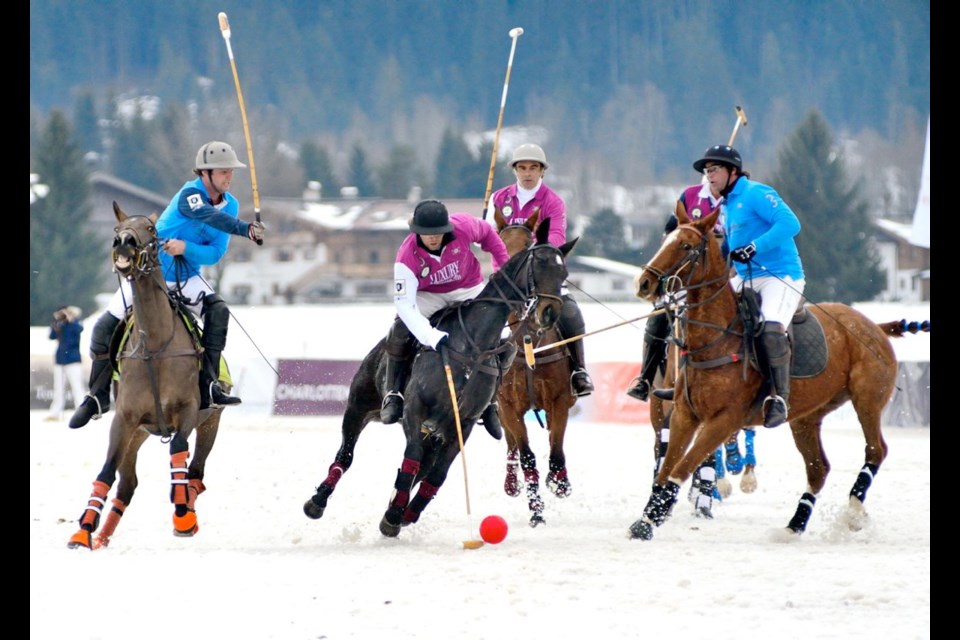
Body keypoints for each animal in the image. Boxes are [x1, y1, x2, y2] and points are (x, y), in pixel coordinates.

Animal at [67, 204, 227, 552]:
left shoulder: (189, 410)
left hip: (211, 421)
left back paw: (188, 503)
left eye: (151, 230)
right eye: (118, 229)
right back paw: (102, 536)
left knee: (196, 470)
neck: (154, 345)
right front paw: (83, 531)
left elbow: (178, 450)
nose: (124, 243)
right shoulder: (124, 419)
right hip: (137, 435)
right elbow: (106, 472)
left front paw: (182, 516)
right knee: (127, 484)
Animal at [492, 209, 572, 524]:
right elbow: (526, 455)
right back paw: (511, 484)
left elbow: (557, 451)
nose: (549, 312)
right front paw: (536, 511)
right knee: (512, 447)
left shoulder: (559, 400)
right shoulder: (508, 406)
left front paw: (560, 483)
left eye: (563, 273)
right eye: (501, 246)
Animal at [632, 201, 916, 540]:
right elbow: (666, 468)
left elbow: (681, 468)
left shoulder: (724, 420)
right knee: (818, 468)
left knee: (875, 450)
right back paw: (794, 525)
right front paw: (647, 518)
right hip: (807, 416)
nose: (644, 284)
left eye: (686, 246)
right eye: (666, 240)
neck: (717, 338)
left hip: (868, 399)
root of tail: (874, 325)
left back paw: (853, 513)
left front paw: (651, 520)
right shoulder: (684, 414)